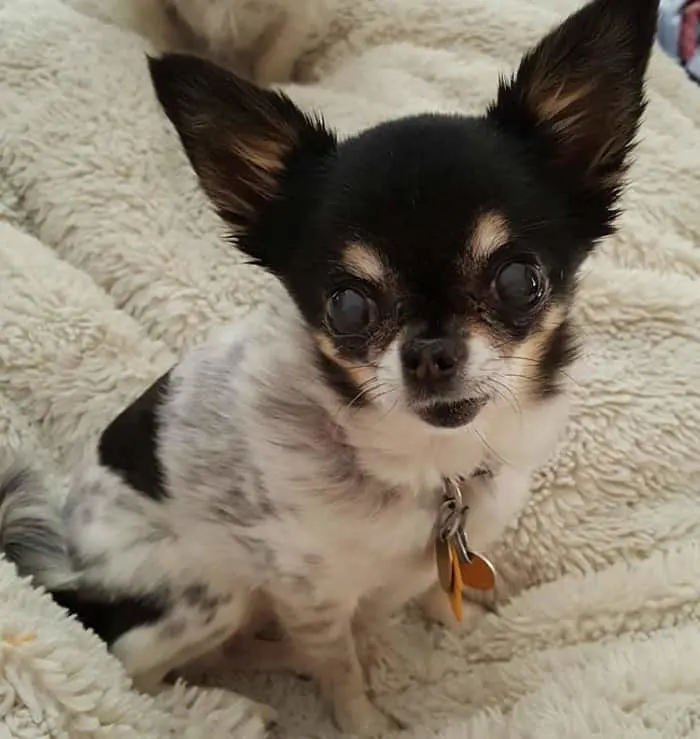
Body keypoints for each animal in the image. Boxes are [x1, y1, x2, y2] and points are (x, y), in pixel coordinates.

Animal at [0, 0, 656, 736]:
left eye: (520, 280)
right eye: (346, 305)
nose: (430, 352)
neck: (431, 464)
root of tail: (71, 571)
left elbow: (434, 588)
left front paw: (452, 617)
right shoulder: (310, 593)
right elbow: (341, 666)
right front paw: (364, 717)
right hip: (206, 590)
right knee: (136, 666)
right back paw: (234, 707)